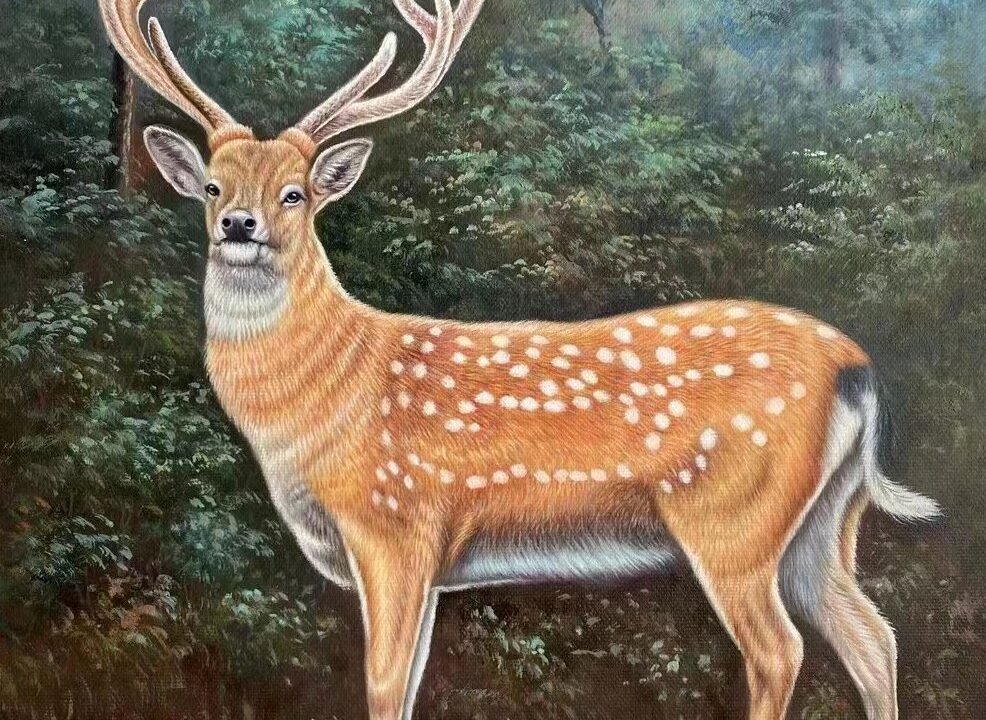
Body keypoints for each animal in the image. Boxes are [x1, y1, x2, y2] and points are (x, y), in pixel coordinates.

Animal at [99, 1, 940, 718]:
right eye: (213, 186)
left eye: (296, 193)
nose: (239, 225)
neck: (326, 403)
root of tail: (856, 367)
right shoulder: (426, 559)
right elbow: (408, 683)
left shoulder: (397, 523)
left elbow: (382, 684)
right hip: (824, 523)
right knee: (874, 636)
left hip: (734, 515)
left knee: (779, 651)